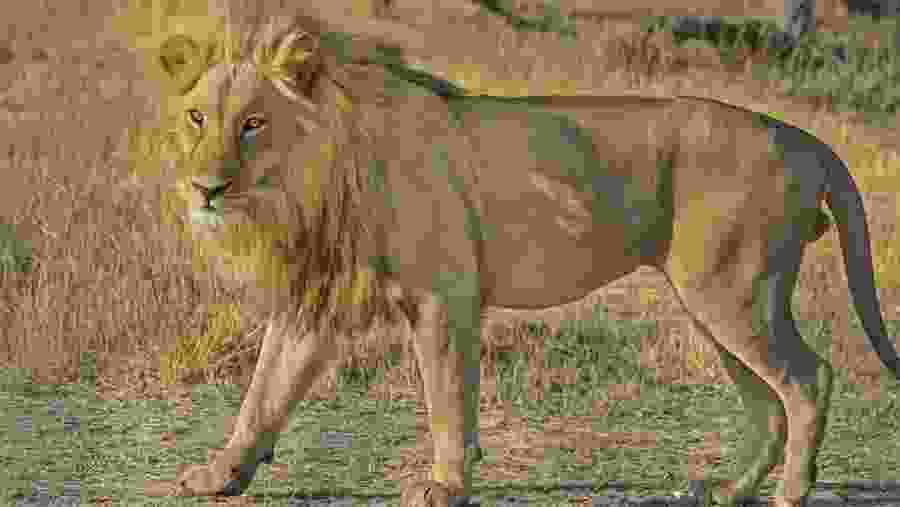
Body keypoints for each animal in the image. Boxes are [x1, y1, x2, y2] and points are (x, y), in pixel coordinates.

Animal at [143, 7, 900, 507]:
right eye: (196, 118)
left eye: (253, 123)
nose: (205, 187)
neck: (313, 184)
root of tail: (800, 136)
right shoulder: (315, 301)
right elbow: (262, 396)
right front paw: (218, 475)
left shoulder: (443, 296)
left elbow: (447, 399)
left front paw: (446, 484)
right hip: (717, 302)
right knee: (768, 402)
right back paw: (731, 489)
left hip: (732, 292)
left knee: (809, 380)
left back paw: (790, 493)